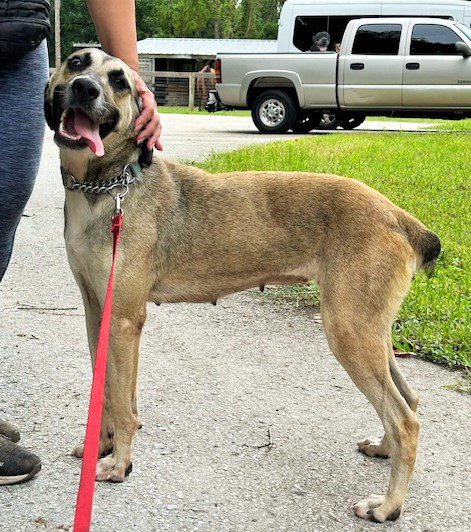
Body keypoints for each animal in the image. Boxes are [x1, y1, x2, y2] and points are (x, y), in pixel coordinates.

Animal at [46, 50, 440, 524]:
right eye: (76, 62)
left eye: (119, 81)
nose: (85, 88)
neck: (108, 187)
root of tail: (399, 217)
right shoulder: (95, 313)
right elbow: (104, 392)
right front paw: (99, 447)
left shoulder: (123, 321)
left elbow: (123, 404)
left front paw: (120, 463)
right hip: (370, 331)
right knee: (408, 400)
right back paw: (383, 449)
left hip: (348, 332)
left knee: (406, 421)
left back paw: (387, 506)